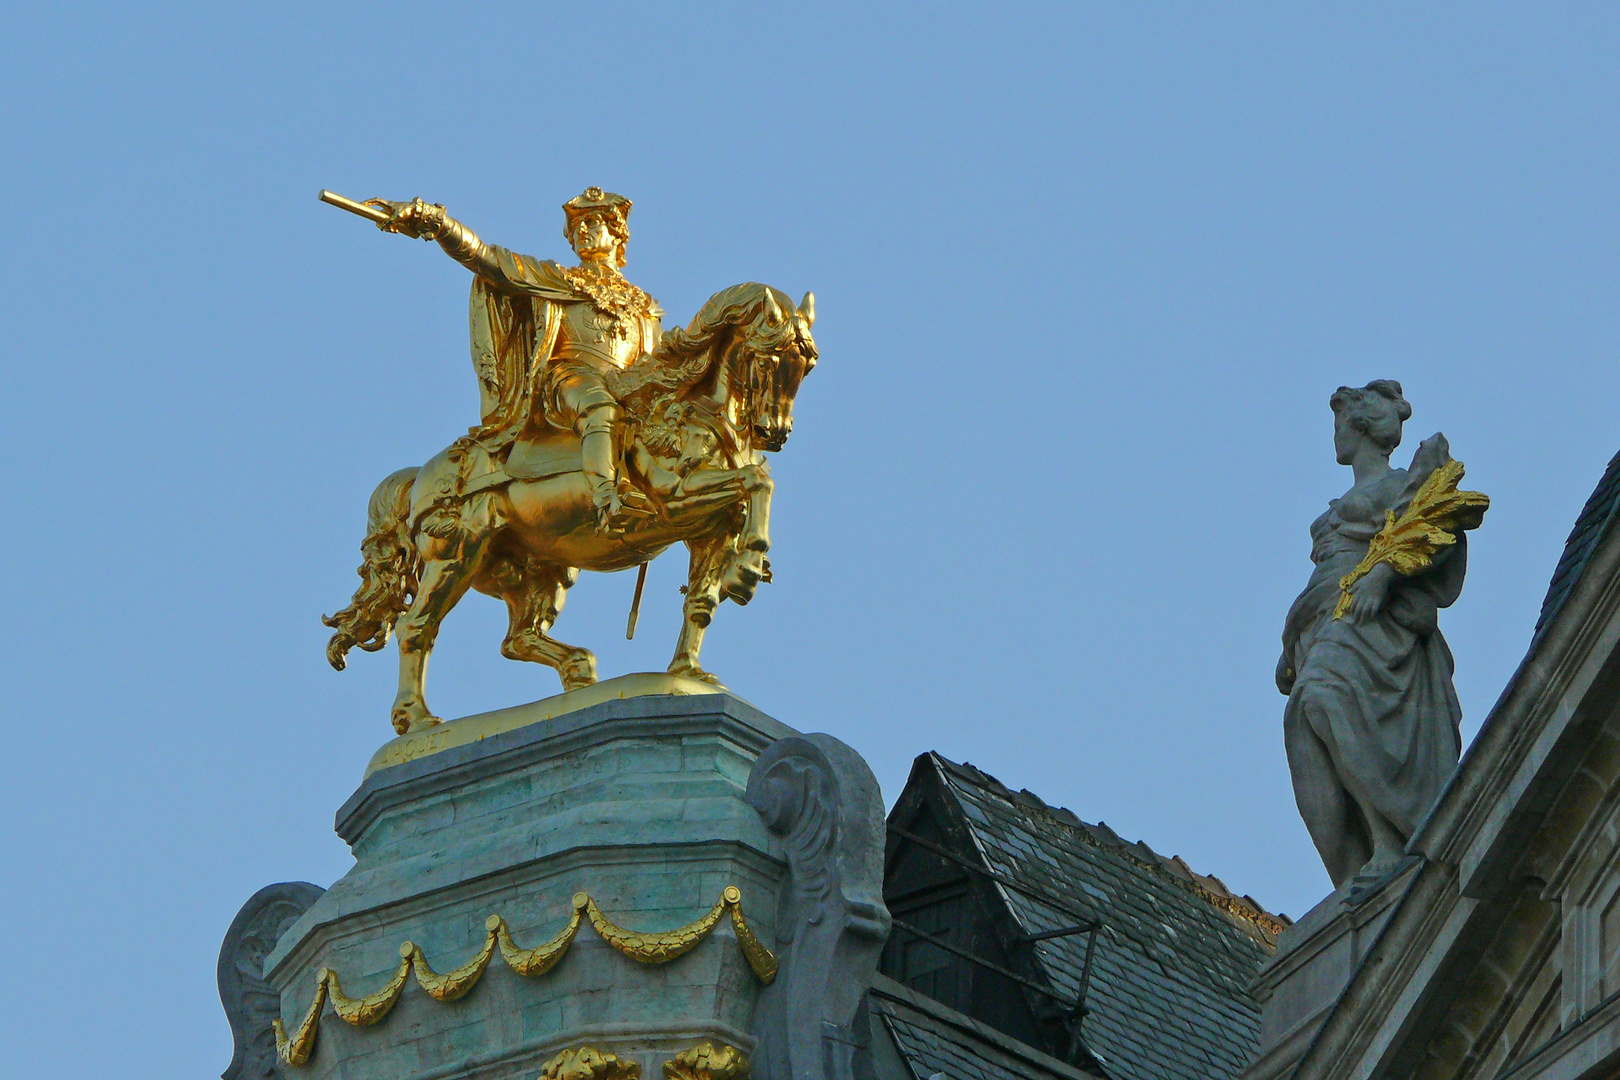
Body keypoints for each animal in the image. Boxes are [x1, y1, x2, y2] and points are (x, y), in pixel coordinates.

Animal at [322, 283, 816, 731]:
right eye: (772, 359)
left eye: (806, 366)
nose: (775, 432)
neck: (695, 410)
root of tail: (418, 478)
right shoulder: (677, 498)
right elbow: (758, 480)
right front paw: (748, 567)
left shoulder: (712, 529)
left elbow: (701, 604)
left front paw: (689, 671)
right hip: (456, 556)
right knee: (416, 627)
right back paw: (417, 719)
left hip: (536, 569)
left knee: (517, 638)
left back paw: (578, 668)